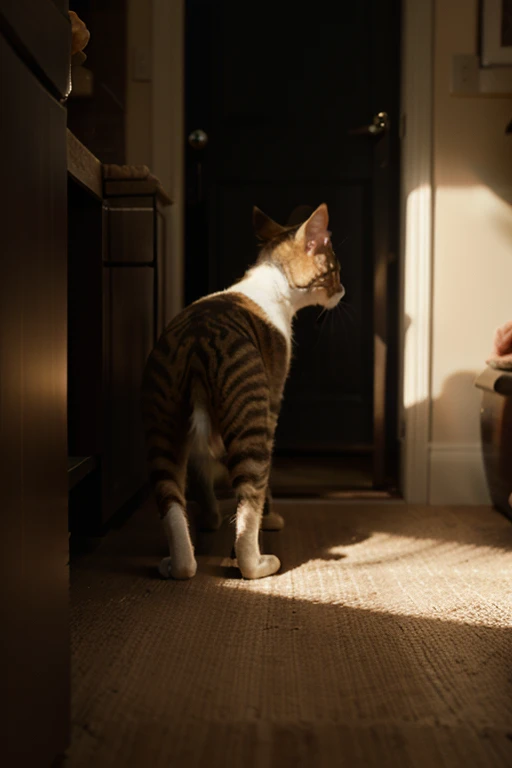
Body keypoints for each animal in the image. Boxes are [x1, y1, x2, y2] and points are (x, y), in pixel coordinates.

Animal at [142, 201, 346, 580]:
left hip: (163, 423)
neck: (271, 283)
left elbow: (202, 475)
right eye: (335, 271)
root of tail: (197, 342)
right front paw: (272, 518)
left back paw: (179, 563)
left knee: (170, 498)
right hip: (251, 419)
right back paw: (260, 563)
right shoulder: (273, 404)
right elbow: (267, 483)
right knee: (249, 502)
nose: (343, 290)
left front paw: (209, 519)